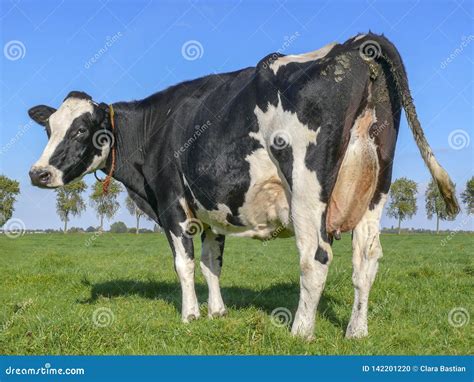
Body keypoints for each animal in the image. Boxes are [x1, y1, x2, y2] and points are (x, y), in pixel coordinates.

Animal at [27, 33, 458, 340]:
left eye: (81, 130)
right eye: (49, 129)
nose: (38, 173)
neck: (154, 129)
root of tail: (353, 44)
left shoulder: (171, 203)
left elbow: (184, 263)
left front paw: (190, 315)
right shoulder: (211, 211)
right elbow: (211, 262)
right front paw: (217, 312)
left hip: (306, 189)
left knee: (315, 256)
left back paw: (300, 332)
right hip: (374, 189)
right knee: (366, 261)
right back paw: (357, 331)